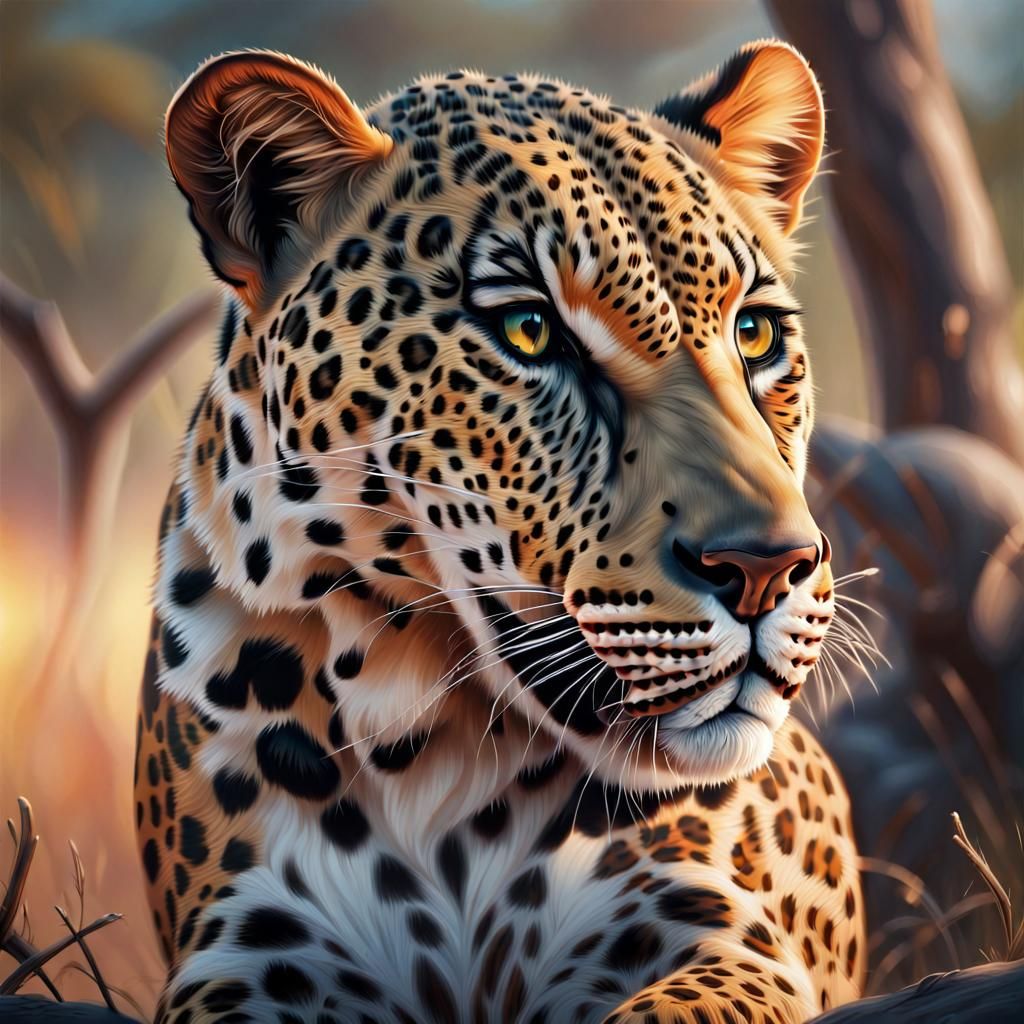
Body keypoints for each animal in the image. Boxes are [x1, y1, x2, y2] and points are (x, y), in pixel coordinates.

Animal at [135, 40, 865, 1024]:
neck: (433, 750)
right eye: (529, 330)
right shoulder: (255, 952)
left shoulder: (721, 932)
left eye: (755, 335)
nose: (766, 568)